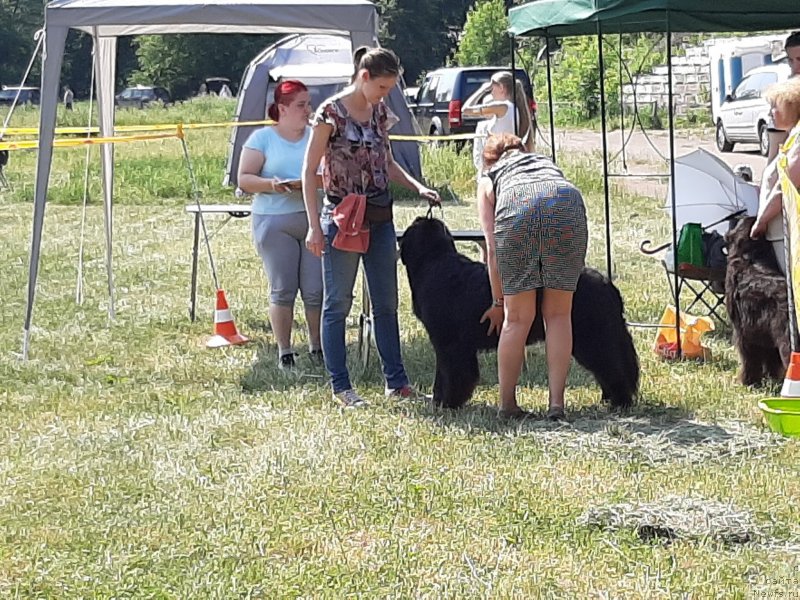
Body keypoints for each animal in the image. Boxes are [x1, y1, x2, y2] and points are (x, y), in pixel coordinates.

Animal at [404, 217, 640, 412]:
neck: (433, 261)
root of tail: (607, 283)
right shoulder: (448, 346)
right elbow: (443, 375)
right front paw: (438, 400)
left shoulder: (450, 346)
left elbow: (451, 375)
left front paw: (447, 403)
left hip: (592, 338)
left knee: (612, 366)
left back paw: (620, 402)